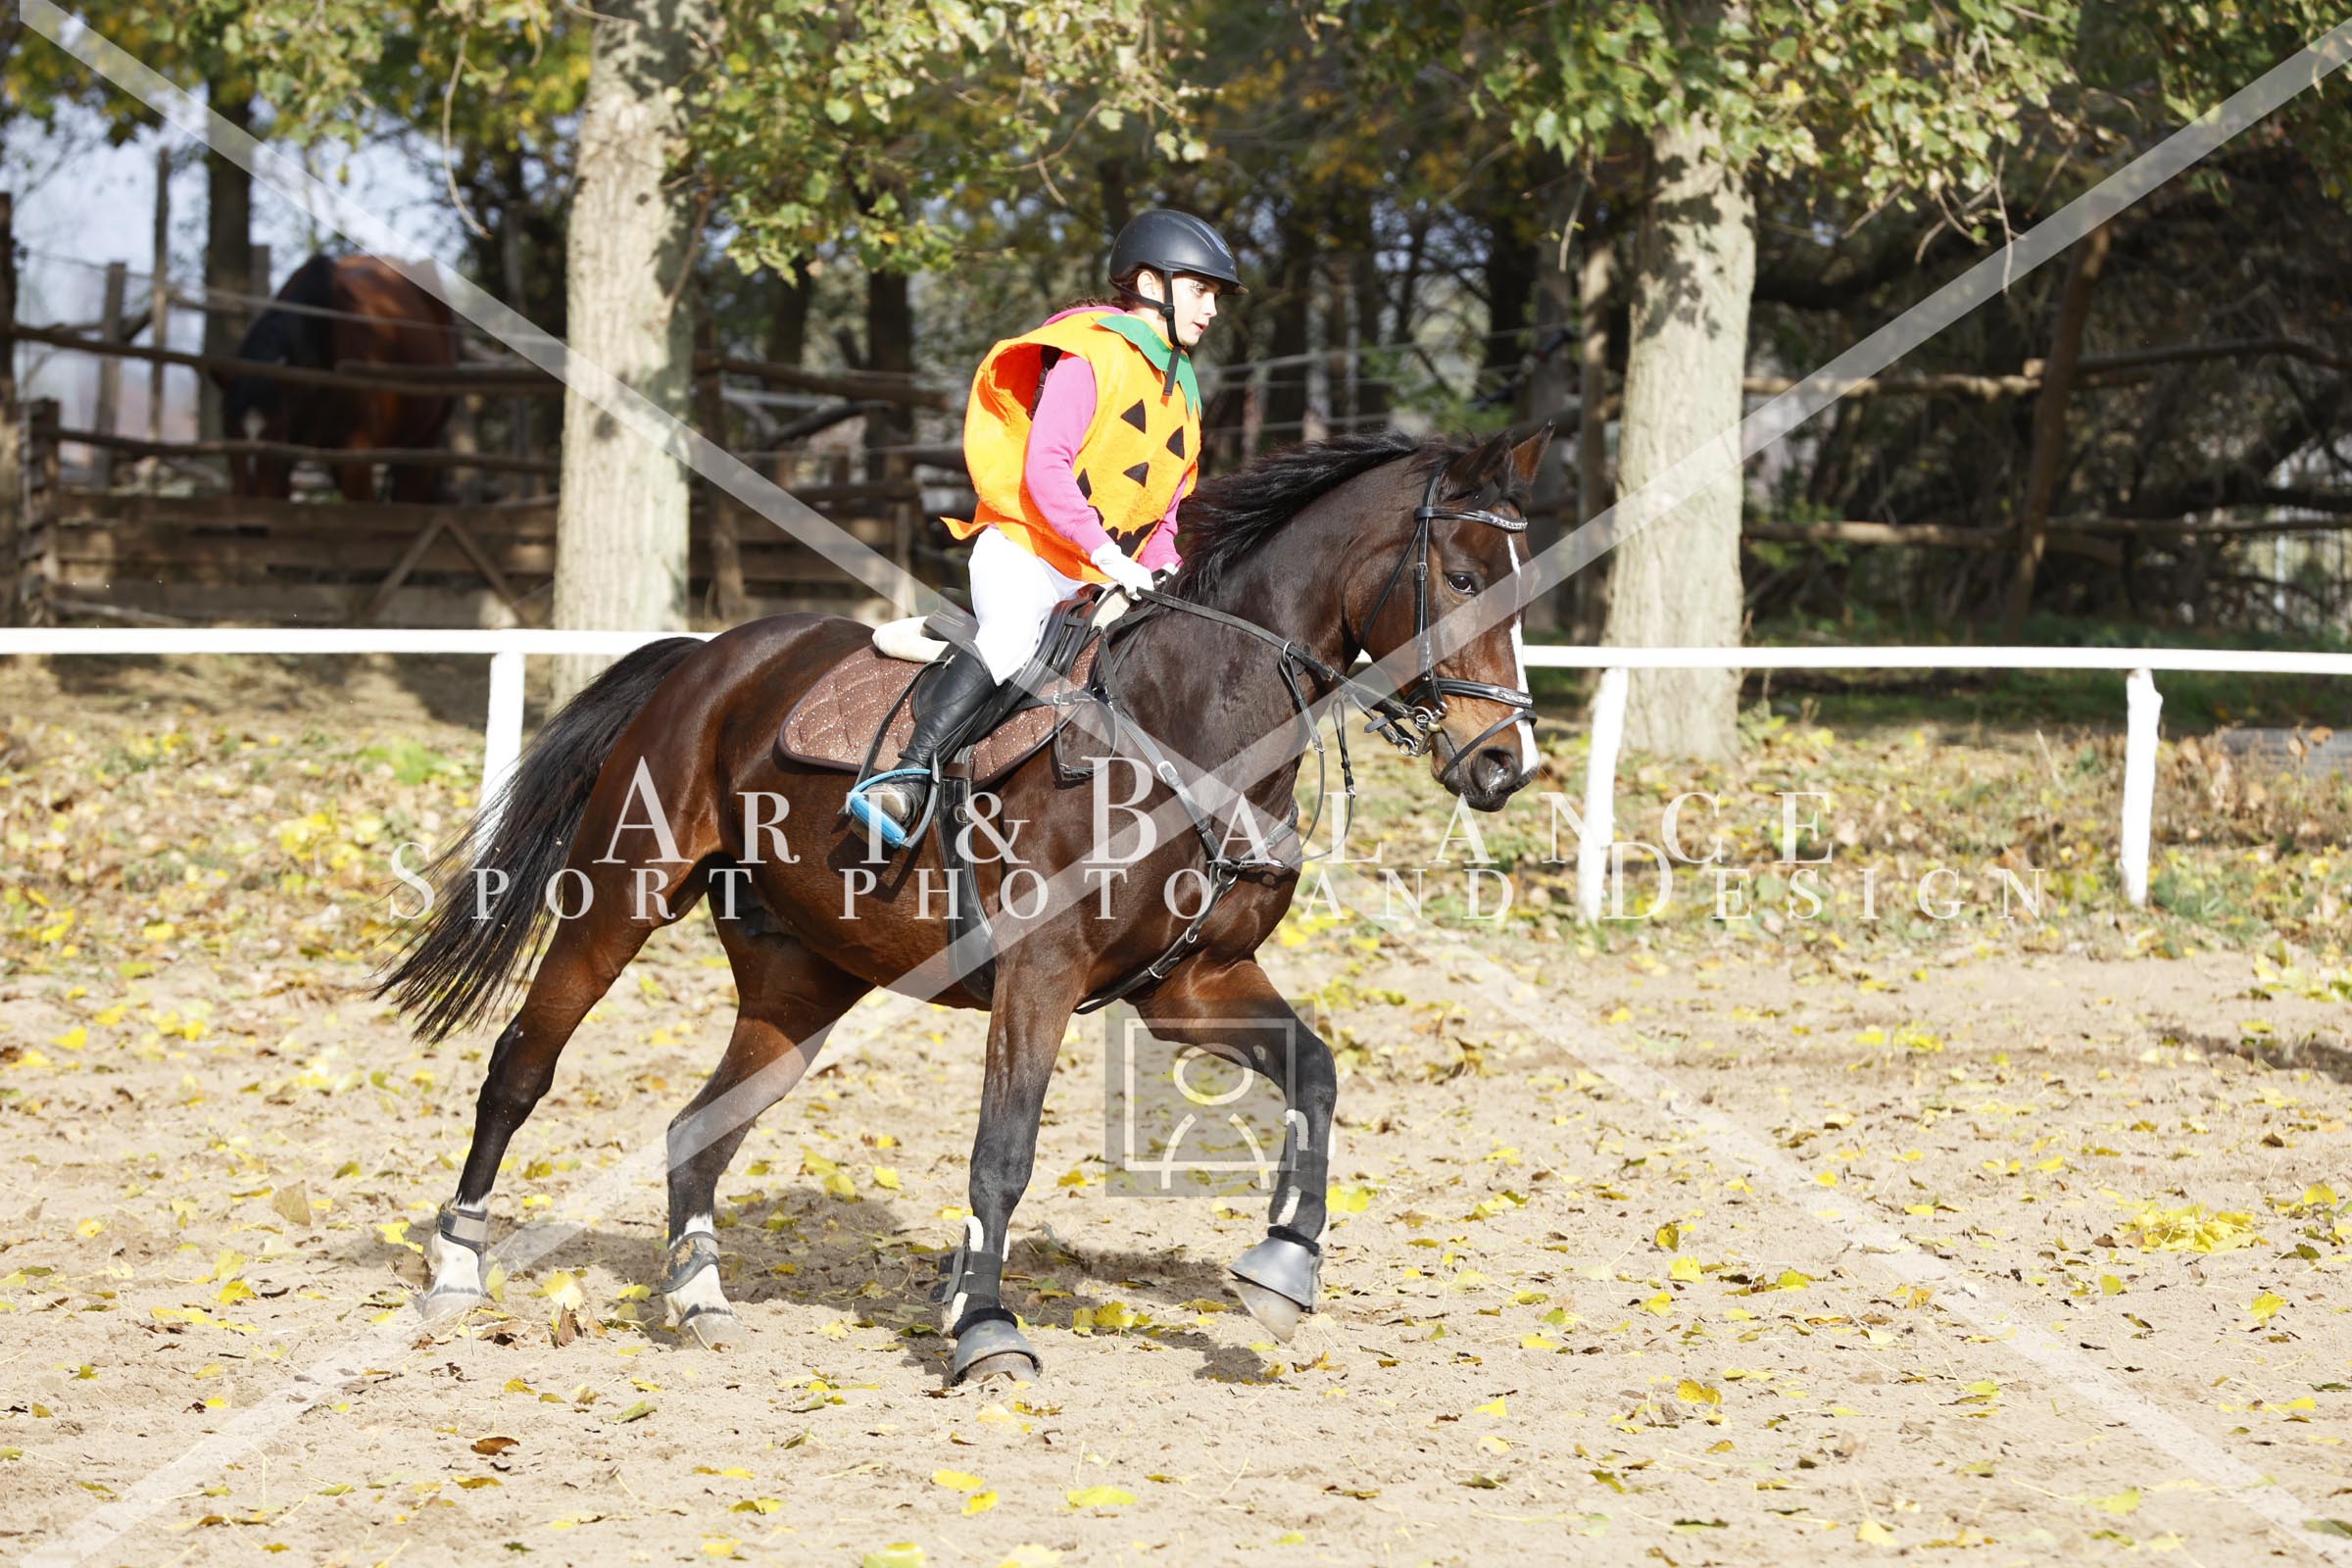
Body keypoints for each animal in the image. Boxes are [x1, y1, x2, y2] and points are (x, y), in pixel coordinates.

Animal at [374, 424, 1553, 1384]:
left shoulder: (1192, 987)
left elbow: (1316, 1071)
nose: (1507, 764)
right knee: (521, 1066)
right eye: (1458, 576)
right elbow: (1004, 1153)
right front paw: (983, 1324)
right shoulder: (1041, 975)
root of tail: (707, 659)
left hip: (801, 980)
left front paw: (1284, 1266)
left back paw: (699, 1296)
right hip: (617, 901)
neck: (1192, 724)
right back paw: (456, 1264)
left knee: (699, 1128)